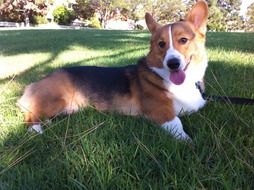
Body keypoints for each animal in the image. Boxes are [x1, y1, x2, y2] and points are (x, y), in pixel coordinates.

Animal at [17, 0, 208, 140]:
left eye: (183, 40)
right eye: (161, 44)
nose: (173, 63)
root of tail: (33, 84)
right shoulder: (160, 112)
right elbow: (177, 123)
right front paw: (188, 141)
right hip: (57, 101)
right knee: (30, 115)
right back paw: (36, 129)